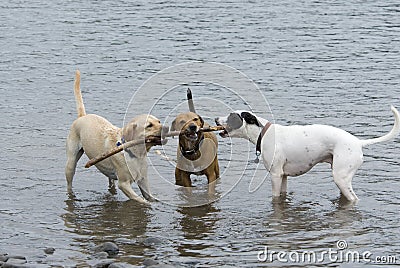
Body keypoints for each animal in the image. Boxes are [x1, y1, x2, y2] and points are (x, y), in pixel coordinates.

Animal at [65, 70, 168, 203]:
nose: (167, 128)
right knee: (69, 182)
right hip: (71, 162)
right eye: (149, 125)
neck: (134, 153)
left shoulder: (143, 180)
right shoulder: (124, 184)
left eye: (159, 121)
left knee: (111, 181)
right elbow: (141, 200)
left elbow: (150, 197)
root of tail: (82, 116)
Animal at [217, 105, 398, 202]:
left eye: (231, 116)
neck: (263, 133)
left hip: (341, 178)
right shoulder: (283, 176)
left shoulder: (275, 175)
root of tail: (357, 142)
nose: (216, 119)